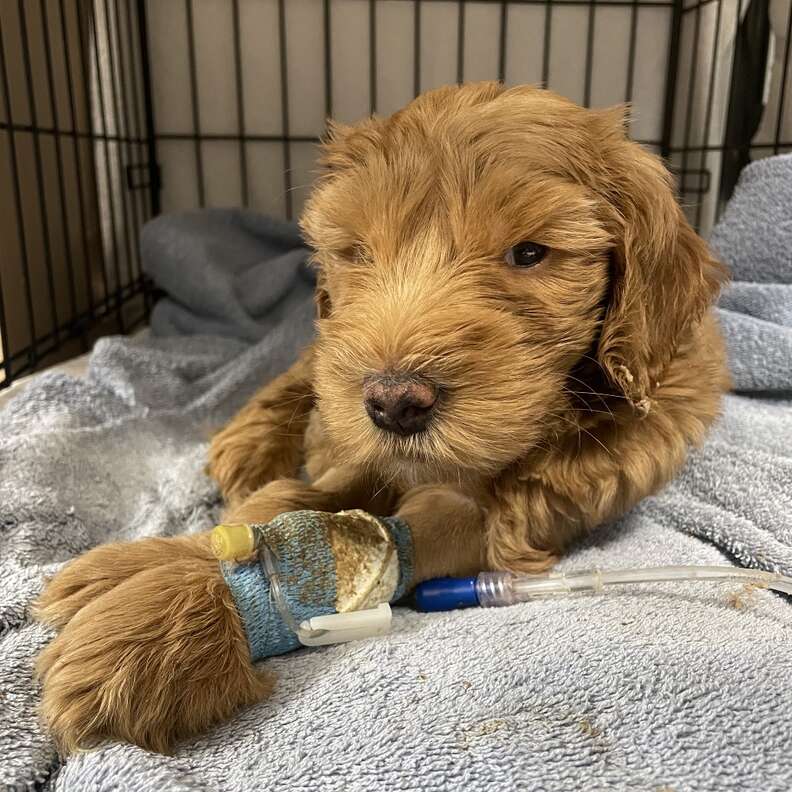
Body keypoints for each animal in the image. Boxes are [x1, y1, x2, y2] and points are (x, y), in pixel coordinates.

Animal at [34, 82, 728, 756]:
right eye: (359, 252)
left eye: (530, 253)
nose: (393, 402)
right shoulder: (360, 440)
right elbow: (290, 501)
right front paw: (149, 575)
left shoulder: (533, 506)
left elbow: (419, 526)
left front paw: (156, 633)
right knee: (305, 375)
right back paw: (250, 442)